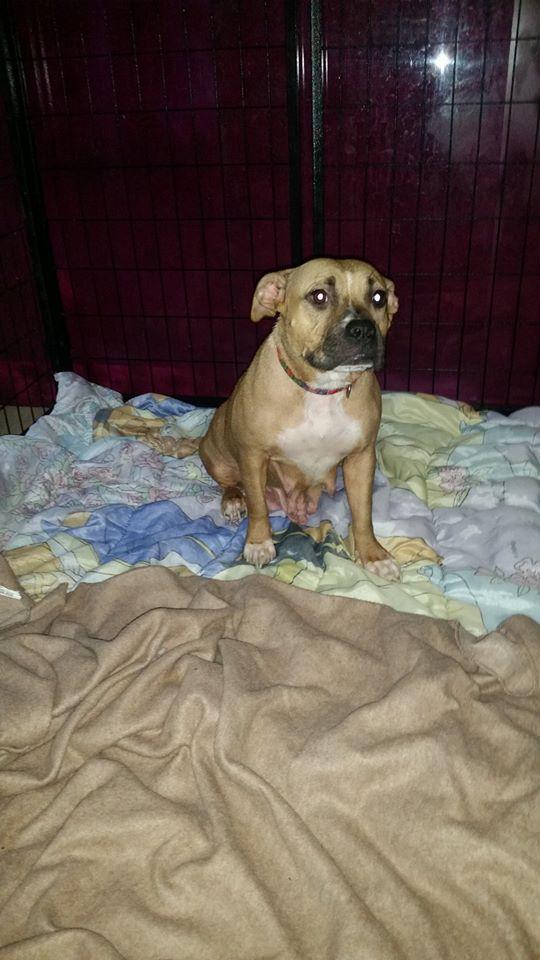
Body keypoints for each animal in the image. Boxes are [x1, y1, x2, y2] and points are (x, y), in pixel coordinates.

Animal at [194, 255, 400, 576]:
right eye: (319, 296)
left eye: (378, 297)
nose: (363, 329)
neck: (322, 390)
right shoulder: (253, 455)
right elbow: (257, 506)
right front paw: (258, 543)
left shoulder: (361, 458)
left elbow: (363, 512)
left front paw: (373, 554)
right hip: (217, 453)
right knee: (231, 484)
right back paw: (233, 501)